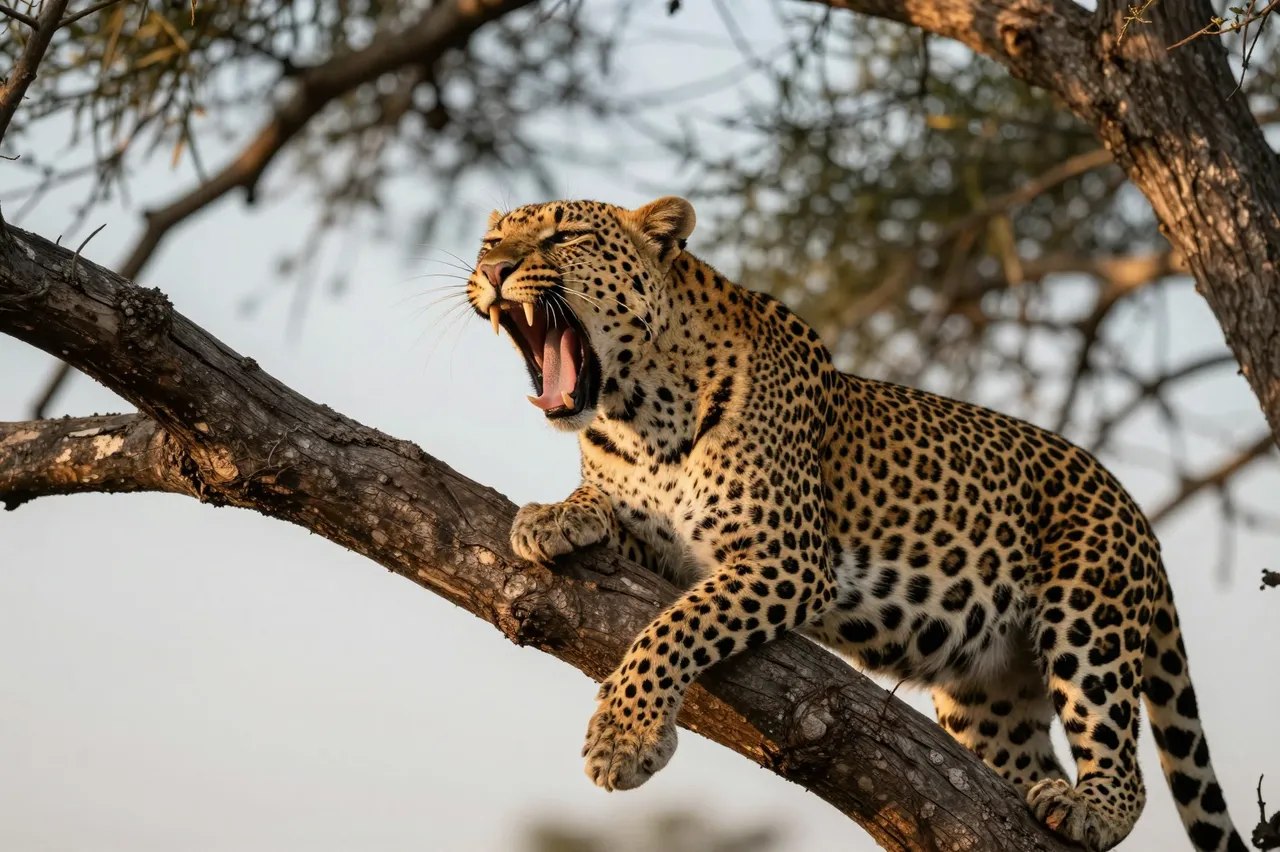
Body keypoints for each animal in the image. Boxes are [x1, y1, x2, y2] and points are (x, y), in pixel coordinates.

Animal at [465, 195, 1247, 852]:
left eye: (566, 236)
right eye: (491, 241)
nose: (494, 270)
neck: (637, 410)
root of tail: (1134, 510)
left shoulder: (786, 558)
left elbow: (673, 627)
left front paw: (624, 740)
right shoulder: (661, 541)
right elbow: (607, 510)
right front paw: (553, 516)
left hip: (1090, 614)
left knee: (1122, 757)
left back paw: (1091, 807)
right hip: (988, 693)